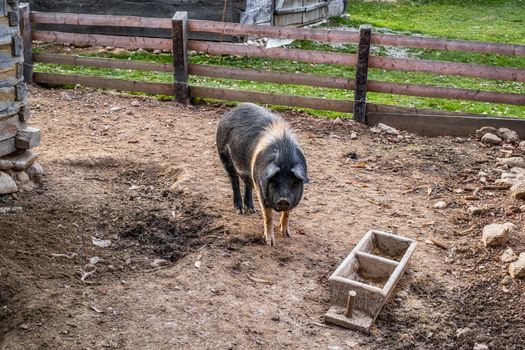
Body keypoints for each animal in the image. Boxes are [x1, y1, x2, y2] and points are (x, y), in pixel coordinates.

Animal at [216, 102, 310, 246]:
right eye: (274, 180)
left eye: (294, 182)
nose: (283, 200)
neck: (284, 157)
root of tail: (231, 111)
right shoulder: (261, 187)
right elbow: (268, 215)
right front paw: (269, 242)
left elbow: (287, 213)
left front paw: (287, 235)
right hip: (223, 154)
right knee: (234, 180)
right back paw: (239, 210)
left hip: (248, 171)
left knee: (246, 182)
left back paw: (251, 210)